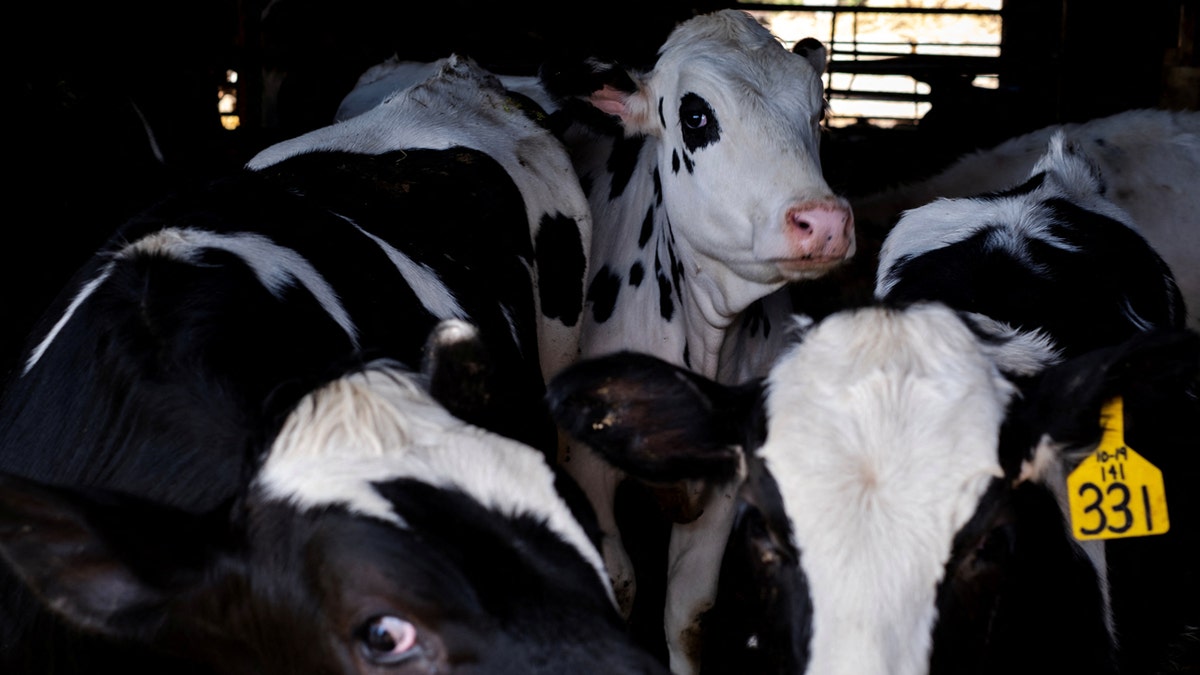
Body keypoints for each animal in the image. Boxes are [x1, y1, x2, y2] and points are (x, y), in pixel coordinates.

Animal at [535, 11, 854, 667]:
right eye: (696, 116)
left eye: (818, 111)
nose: (824, 222)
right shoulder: (585, 466)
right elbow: (620, 585)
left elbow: (689, 614)